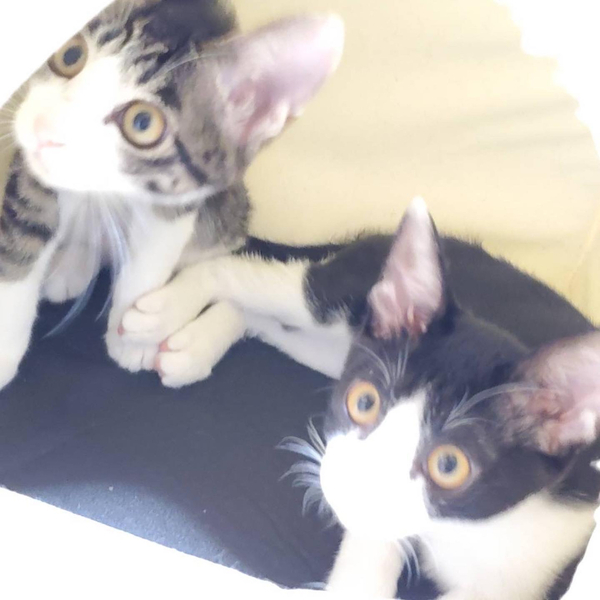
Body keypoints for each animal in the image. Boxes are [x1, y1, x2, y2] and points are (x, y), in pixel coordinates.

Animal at [0, 0, 344, 390]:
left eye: (142, 123)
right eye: (70, 55)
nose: (41, 127)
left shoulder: (181, 195)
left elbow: (150, 260)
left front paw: (132, 340)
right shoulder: (30, 176)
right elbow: (21, 247)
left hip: (229, 214)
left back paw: (194, 342)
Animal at [122, 198, 600, 598]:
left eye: (449, 465)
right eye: (364, 403)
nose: (349, 486)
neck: (461, 529)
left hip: (342, 347)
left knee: (271, 321)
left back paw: (192, 347)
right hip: (340, 296)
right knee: (251, 274)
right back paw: (157, 313)